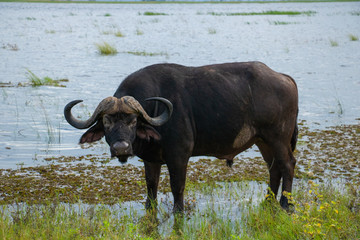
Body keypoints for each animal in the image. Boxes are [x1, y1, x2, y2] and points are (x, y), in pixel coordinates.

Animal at [64, 62, 298, 212]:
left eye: (132, 121)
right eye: (107, 121)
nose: (121, 147)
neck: (155, 110)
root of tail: (284, 77)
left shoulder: (179, 156)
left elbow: (177, 186)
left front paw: (179, 211)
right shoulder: (151, 160)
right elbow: (151, 185)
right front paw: (150, 208)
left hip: (278, 138)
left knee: (287, 164)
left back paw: (286, 204)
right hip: (263, 141)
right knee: (273, 168)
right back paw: (268, 201)